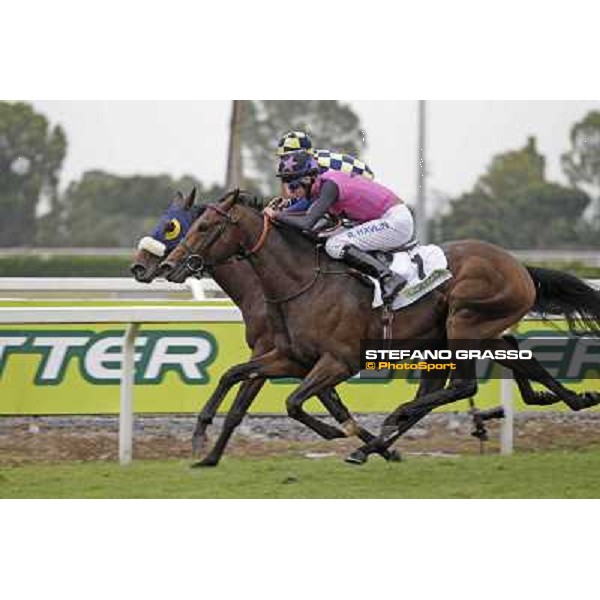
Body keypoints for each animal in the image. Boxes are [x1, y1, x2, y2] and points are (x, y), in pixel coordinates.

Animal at [158, 192, 600, 464]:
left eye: (200, 227)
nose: (166, 266)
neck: (302, 281)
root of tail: (519, 266)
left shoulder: (338, 361)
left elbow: (295, 402)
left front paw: (341, 434)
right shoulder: (290, 357)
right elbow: (235, 376)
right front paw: (200, 437)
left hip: (464, 323)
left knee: (464, 385)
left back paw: (389, 427)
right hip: (462, 334)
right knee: (512, 358)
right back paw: (569, 397)